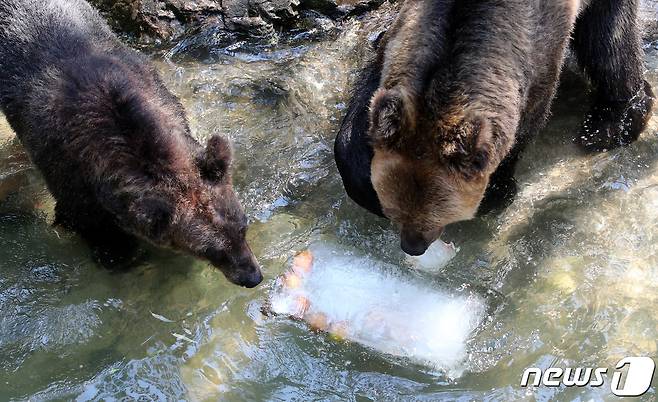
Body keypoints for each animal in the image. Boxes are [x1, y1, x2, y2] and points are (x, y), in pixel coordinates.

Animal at [0, 0, 262, 288]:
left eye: (242, 226)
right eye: (210, 250)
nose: (252, 277)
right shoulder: (68, 173)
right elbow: (91, 226)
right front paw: (119, 255)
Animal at [336, 0, 652, 254]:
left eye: (440, 214)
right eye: (396, 210)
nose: (413, 246)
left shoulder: (542, 52)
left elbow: (525, 124)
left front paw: (497, 191)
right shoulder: (404, 40)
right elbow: (369, 96)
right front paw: (360, 177)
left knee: (610, 42)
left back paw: (610, 124)